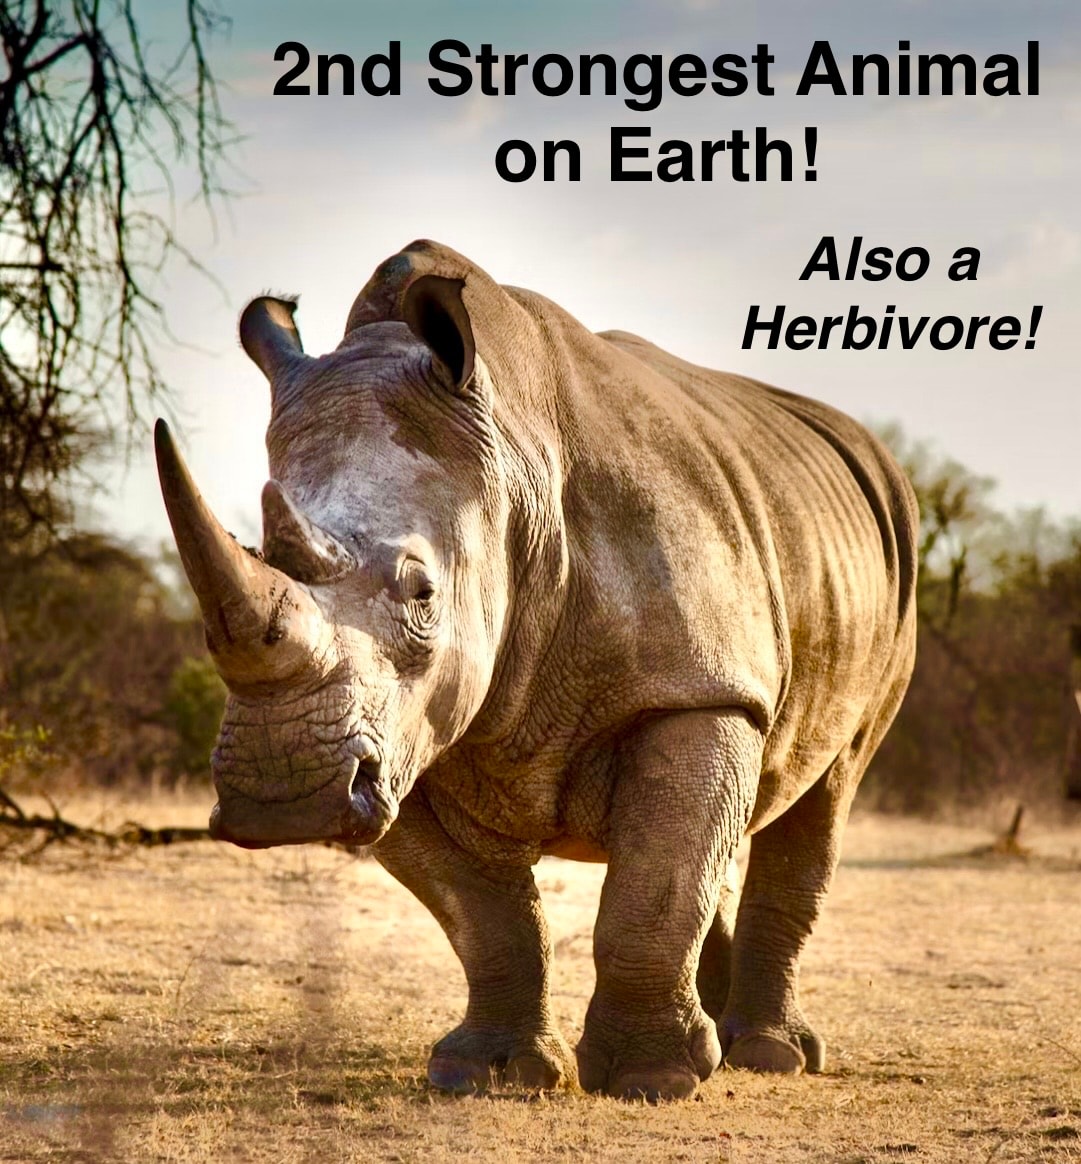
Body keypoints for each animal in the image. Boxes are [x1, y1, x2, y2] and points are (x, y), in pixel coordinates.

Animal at [156, 240, 917, 1102]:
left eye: (422, 592)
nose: (282, 797)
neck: (513, 471)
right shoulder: (402, 739)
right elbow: (487, 917)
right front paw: (484, 1073)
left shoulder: (695, 689)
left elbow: (653, 889)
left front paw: (651, 1079)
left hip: (888, 569)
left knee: (827, 786)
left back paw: (767, 1053)